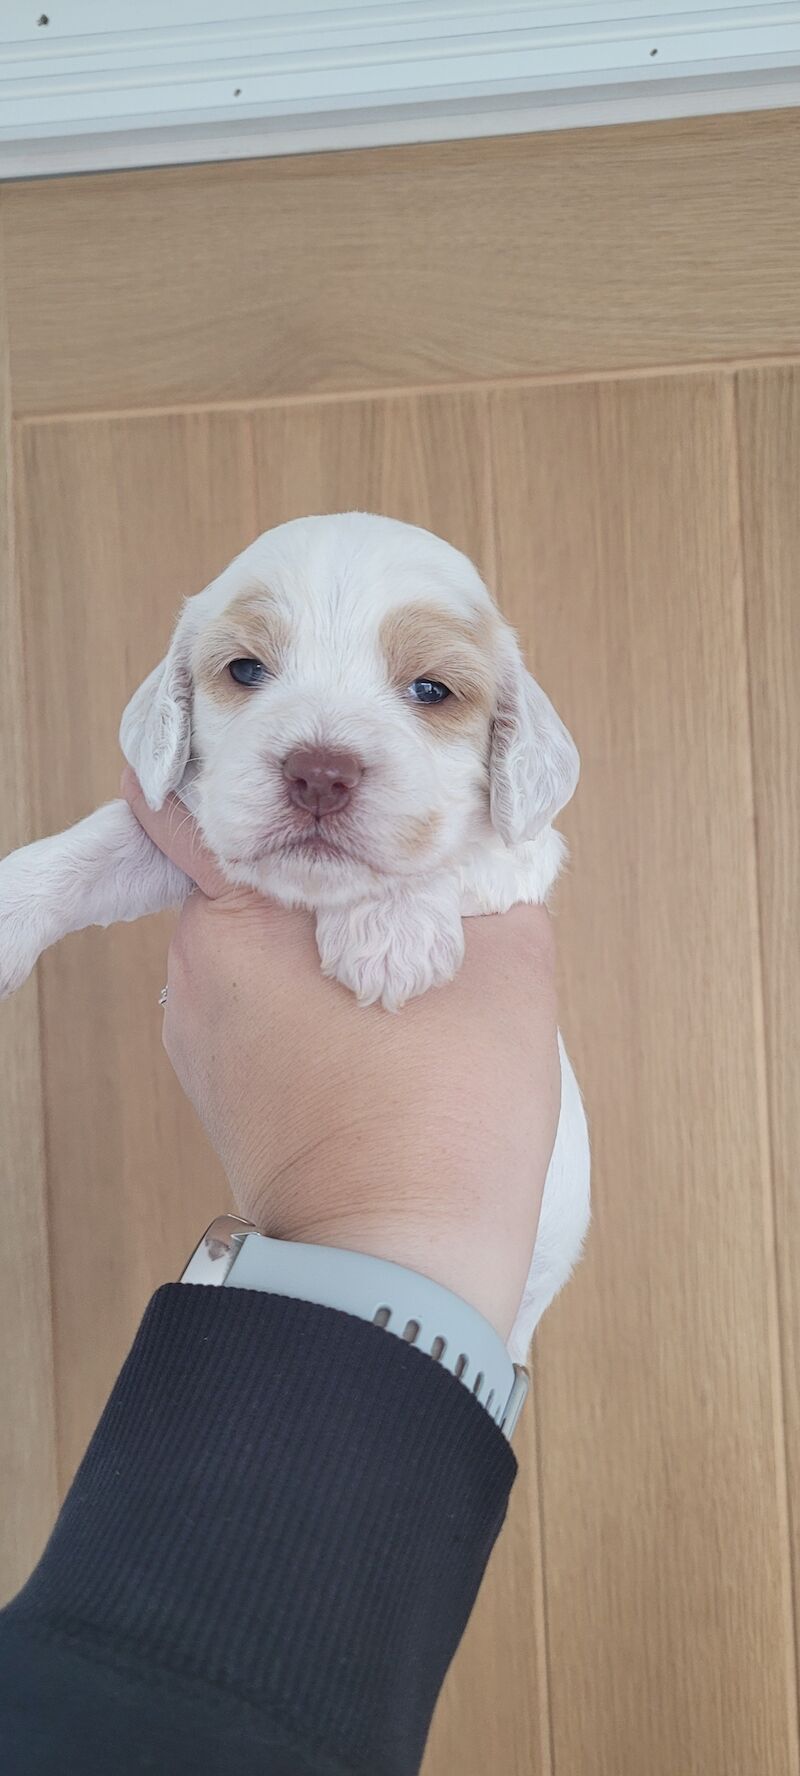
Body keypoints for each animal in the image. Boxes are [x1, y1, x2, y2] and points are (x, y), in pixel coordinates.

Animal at [0, 515, 586, 1356]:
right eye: (245, 669)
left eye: (432, 690)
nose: (320, 771)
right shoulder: (186, 827)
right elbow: (93, 847)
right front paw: (9, 907)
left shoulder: (527, 853)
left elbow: (456, 850)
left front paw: (390, 933)